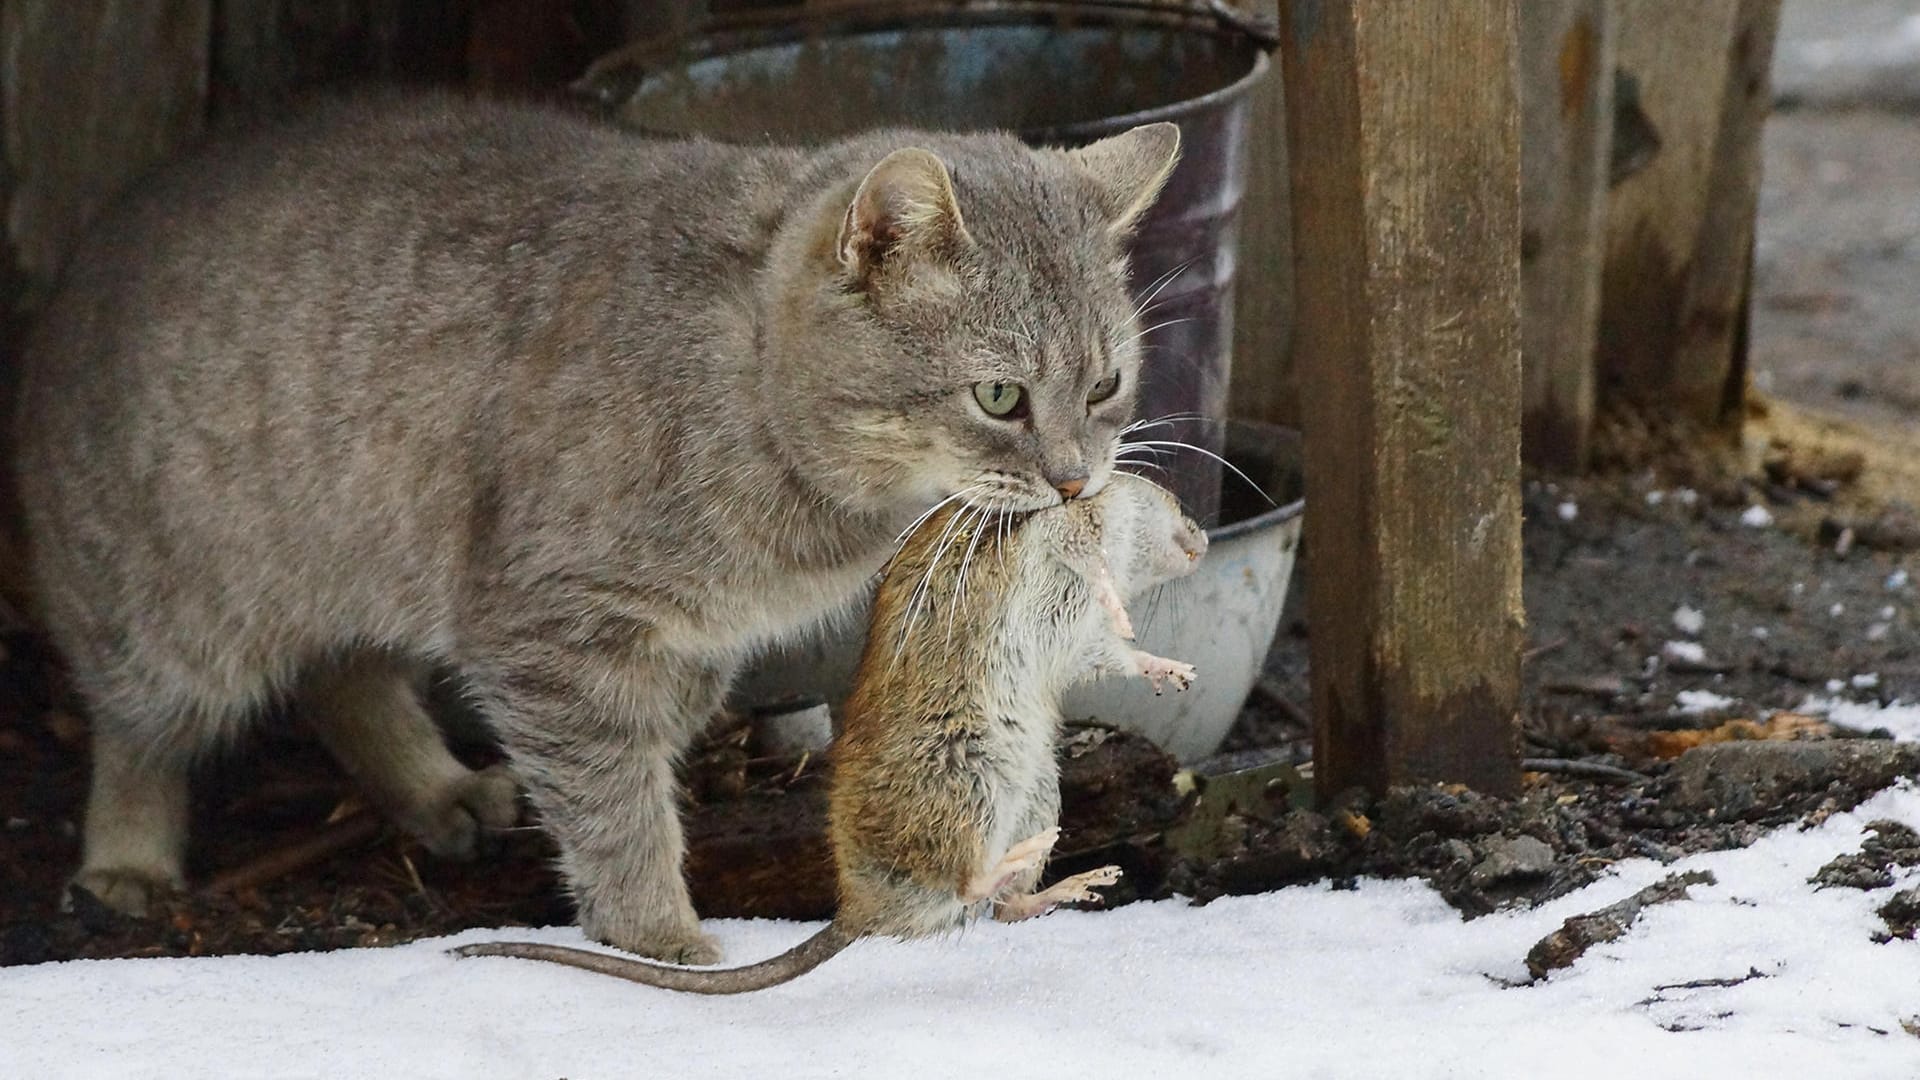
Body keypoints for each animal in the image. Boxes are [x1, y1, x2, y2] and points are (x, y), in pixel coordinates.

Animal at [15, 92, 1175, 957]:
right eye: (999, 398)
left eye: (1107, 383)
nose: (1076, 481)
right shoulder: (546, 631)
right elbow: (612, 801)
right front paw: (656, 933)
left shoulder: (692, 641)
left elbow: (643, 758)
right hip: (170, 616)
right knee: (141, 730)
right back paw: (124, 861)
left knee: (345, 676)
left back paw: (436, 789)